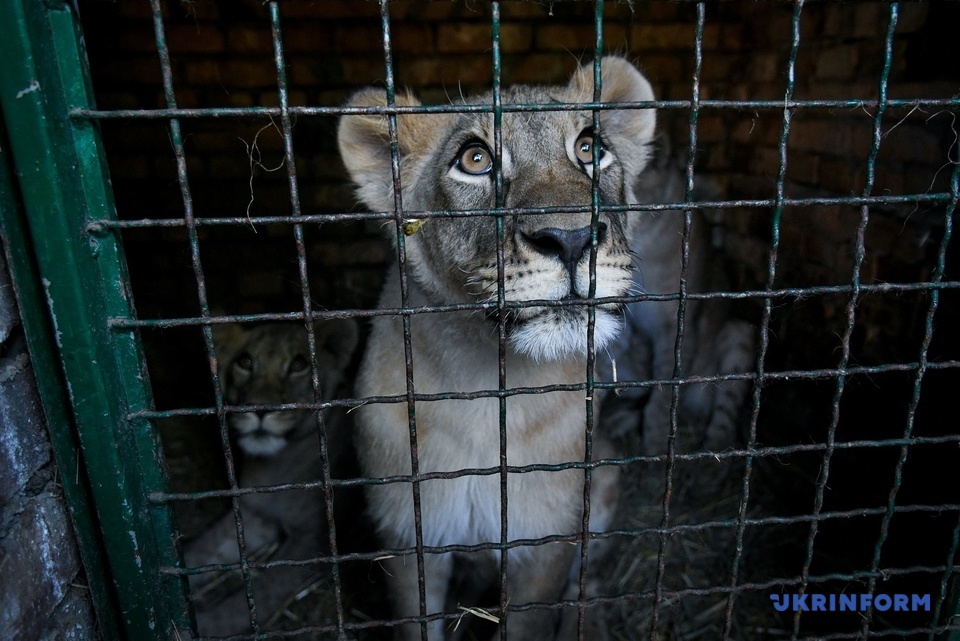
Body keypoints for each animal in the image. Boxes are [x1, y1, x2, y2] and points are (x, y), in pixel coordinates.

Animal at [181, 318, 358, 637]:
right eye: (245, 361)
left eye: (299, 363)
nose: (260, 409)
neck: (275, 468)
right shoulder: (253, 515)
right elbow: (202, 550)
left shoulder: (312, 544)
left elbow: (249, 600)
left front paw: (199, 626)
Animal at [338, 56, 656, 641]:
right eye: (476, 159)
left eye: (589, 147)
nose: (571, 239)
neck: (487, 390)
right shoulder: (408, 538)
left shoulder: (547, 538)